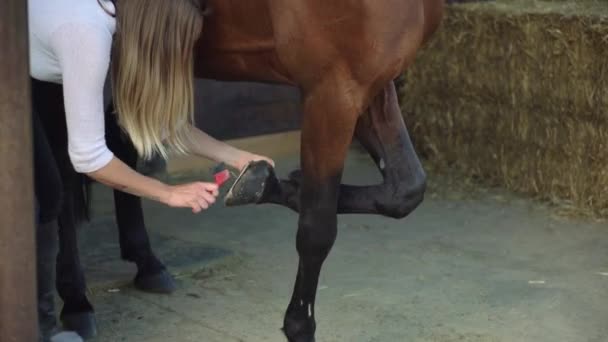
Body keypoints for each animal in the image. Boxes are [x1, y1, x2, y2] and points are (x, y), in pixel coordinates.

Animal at [196, 1, 446, 340]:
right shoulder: (333, 91)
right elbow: (317, 229)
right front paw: (299, 324)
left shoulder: (369, 83)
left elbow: (404, 189)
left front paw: (278, 186)